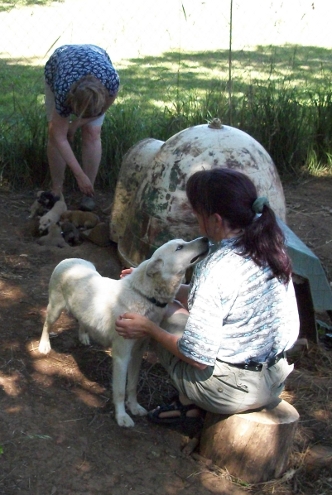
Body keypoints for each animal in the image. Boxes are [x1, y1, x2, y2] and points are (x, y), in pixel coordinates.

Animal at [38, 238, 208, 428]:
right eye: (179, 247)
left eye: (183, 242)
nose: (206, 239)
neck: (144, 296)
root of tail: (68, 259)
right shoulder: (121, 356)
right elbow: (119, 390)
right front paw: (122, 416)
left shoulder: (138, 353)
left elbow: (132, 386)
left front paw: (134, 407)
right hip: (55, 310)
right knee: (46, 325)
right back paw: (44, 346)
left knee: (81, 319)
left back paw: (83, 336)